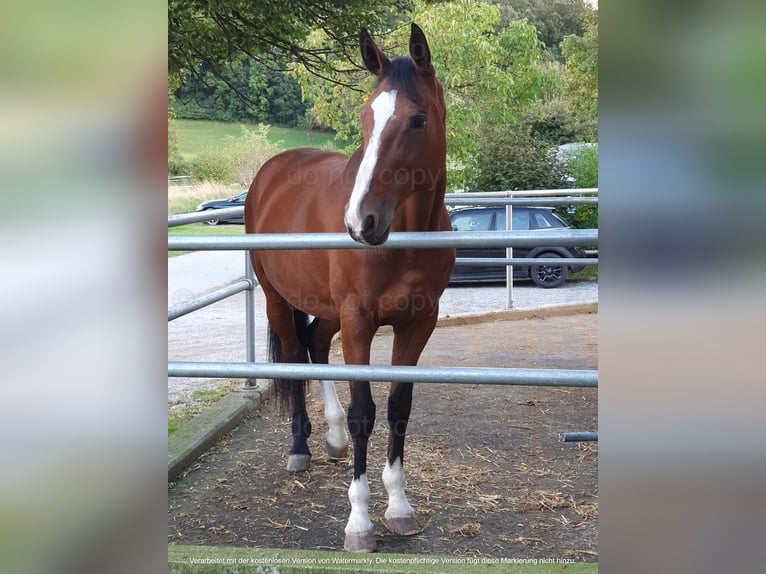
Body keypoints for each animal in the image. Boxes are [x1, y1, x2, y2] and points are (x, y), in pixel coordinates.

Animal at [244, 23, 455, 553]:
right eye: (365, 117)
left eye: (418, 119)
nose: (361, 222)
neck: (406, 238)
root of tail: (271, 171)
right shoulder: (360, 320)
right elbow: (366, 412)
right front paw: (359, 522)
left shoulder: (418, 323)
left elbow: (399, 407)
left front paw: (399, 508)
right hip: (277, 299)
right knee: (295, 355)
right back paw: (300, 447)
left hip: (327, 310)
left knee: (316, 344)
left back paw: (334, 438)